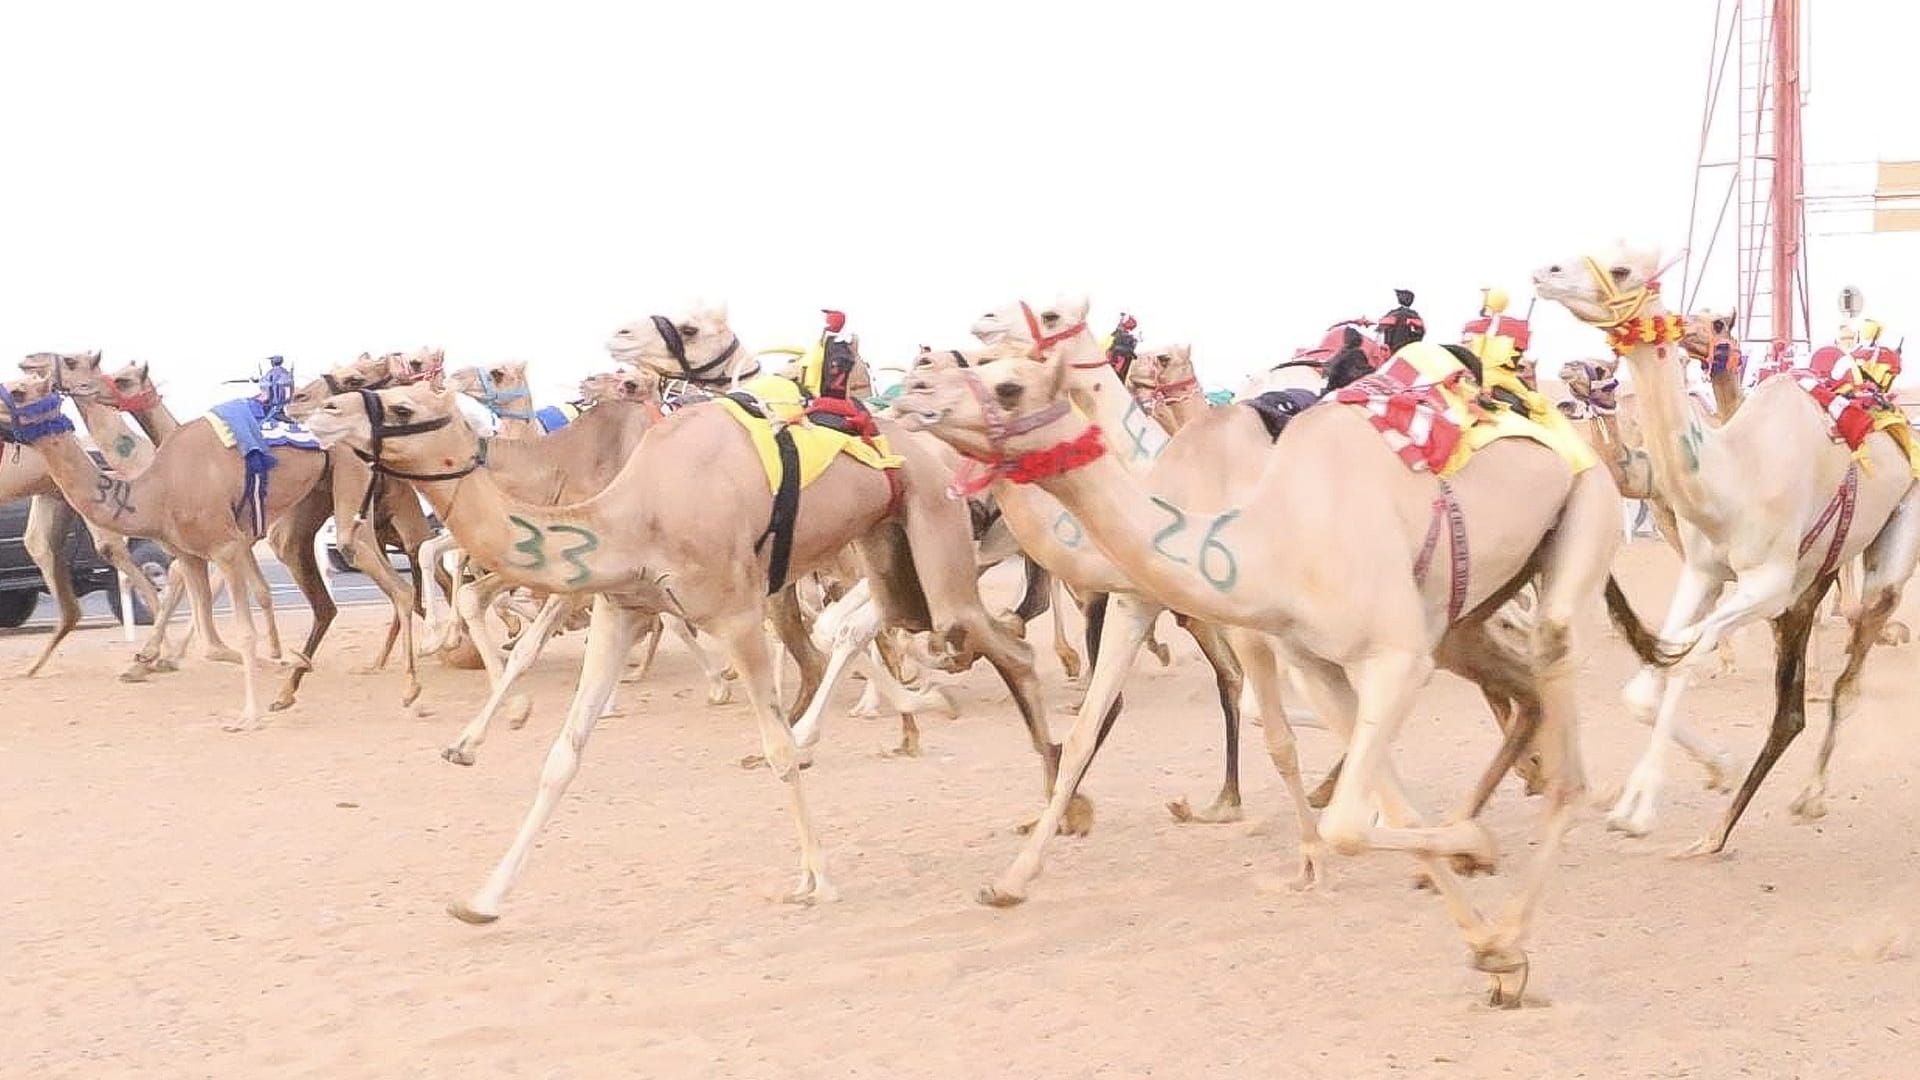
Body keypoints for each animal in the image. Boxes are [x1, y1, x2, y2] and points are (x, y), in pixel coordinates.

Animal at [0, 374, 336, 726]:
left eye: (19, 391)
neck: (156, 491)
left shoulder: (226, 545)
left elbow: (243, 630)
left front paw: (250, 713)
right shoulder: (191, 553)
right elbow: (212, 643)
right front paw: (275, 665)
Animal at [307, 361, 1075, 914]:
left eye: (402, 408)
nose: (320, 412)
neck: (634, 511)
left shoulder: (733, 612)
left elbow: (777, 750)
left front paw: (816, 879)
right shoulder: (619, 606)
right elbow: (563, 753)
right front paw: (485, 897)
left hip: (936, 530)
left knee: (996, 643)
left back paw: (1044, 812)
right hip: (889, 557)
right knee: (925, 634)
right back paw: (1023, 784)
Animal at [883, 309, 1681, 999]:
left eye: (1009, 382)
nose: (913, 395)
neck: (1266, 538)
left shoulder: (1382, 653)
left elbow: (1342, 808)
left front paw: (1460, 868)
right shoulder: (1311, 658)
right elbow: (1369, 793)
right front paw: (1008, 880)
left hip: (1582, 519)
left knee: (1561, 718)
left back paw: (1526, 891)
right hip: (1466, 610)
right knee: (1520, 690)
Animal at [1536, 245, 1920, 849]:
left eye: (1621, 269)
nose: (1545, 272)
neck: (1735, 475)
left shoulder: (1769, 584)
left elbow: (1687, 654)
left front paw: (1640, 805)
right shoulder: (1705, 570)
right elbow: (1653, 674)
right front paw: (1692, 775)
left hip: (1892, 544)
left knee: (1852, 671)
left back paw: (1810, 795)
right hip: (1810, 579)